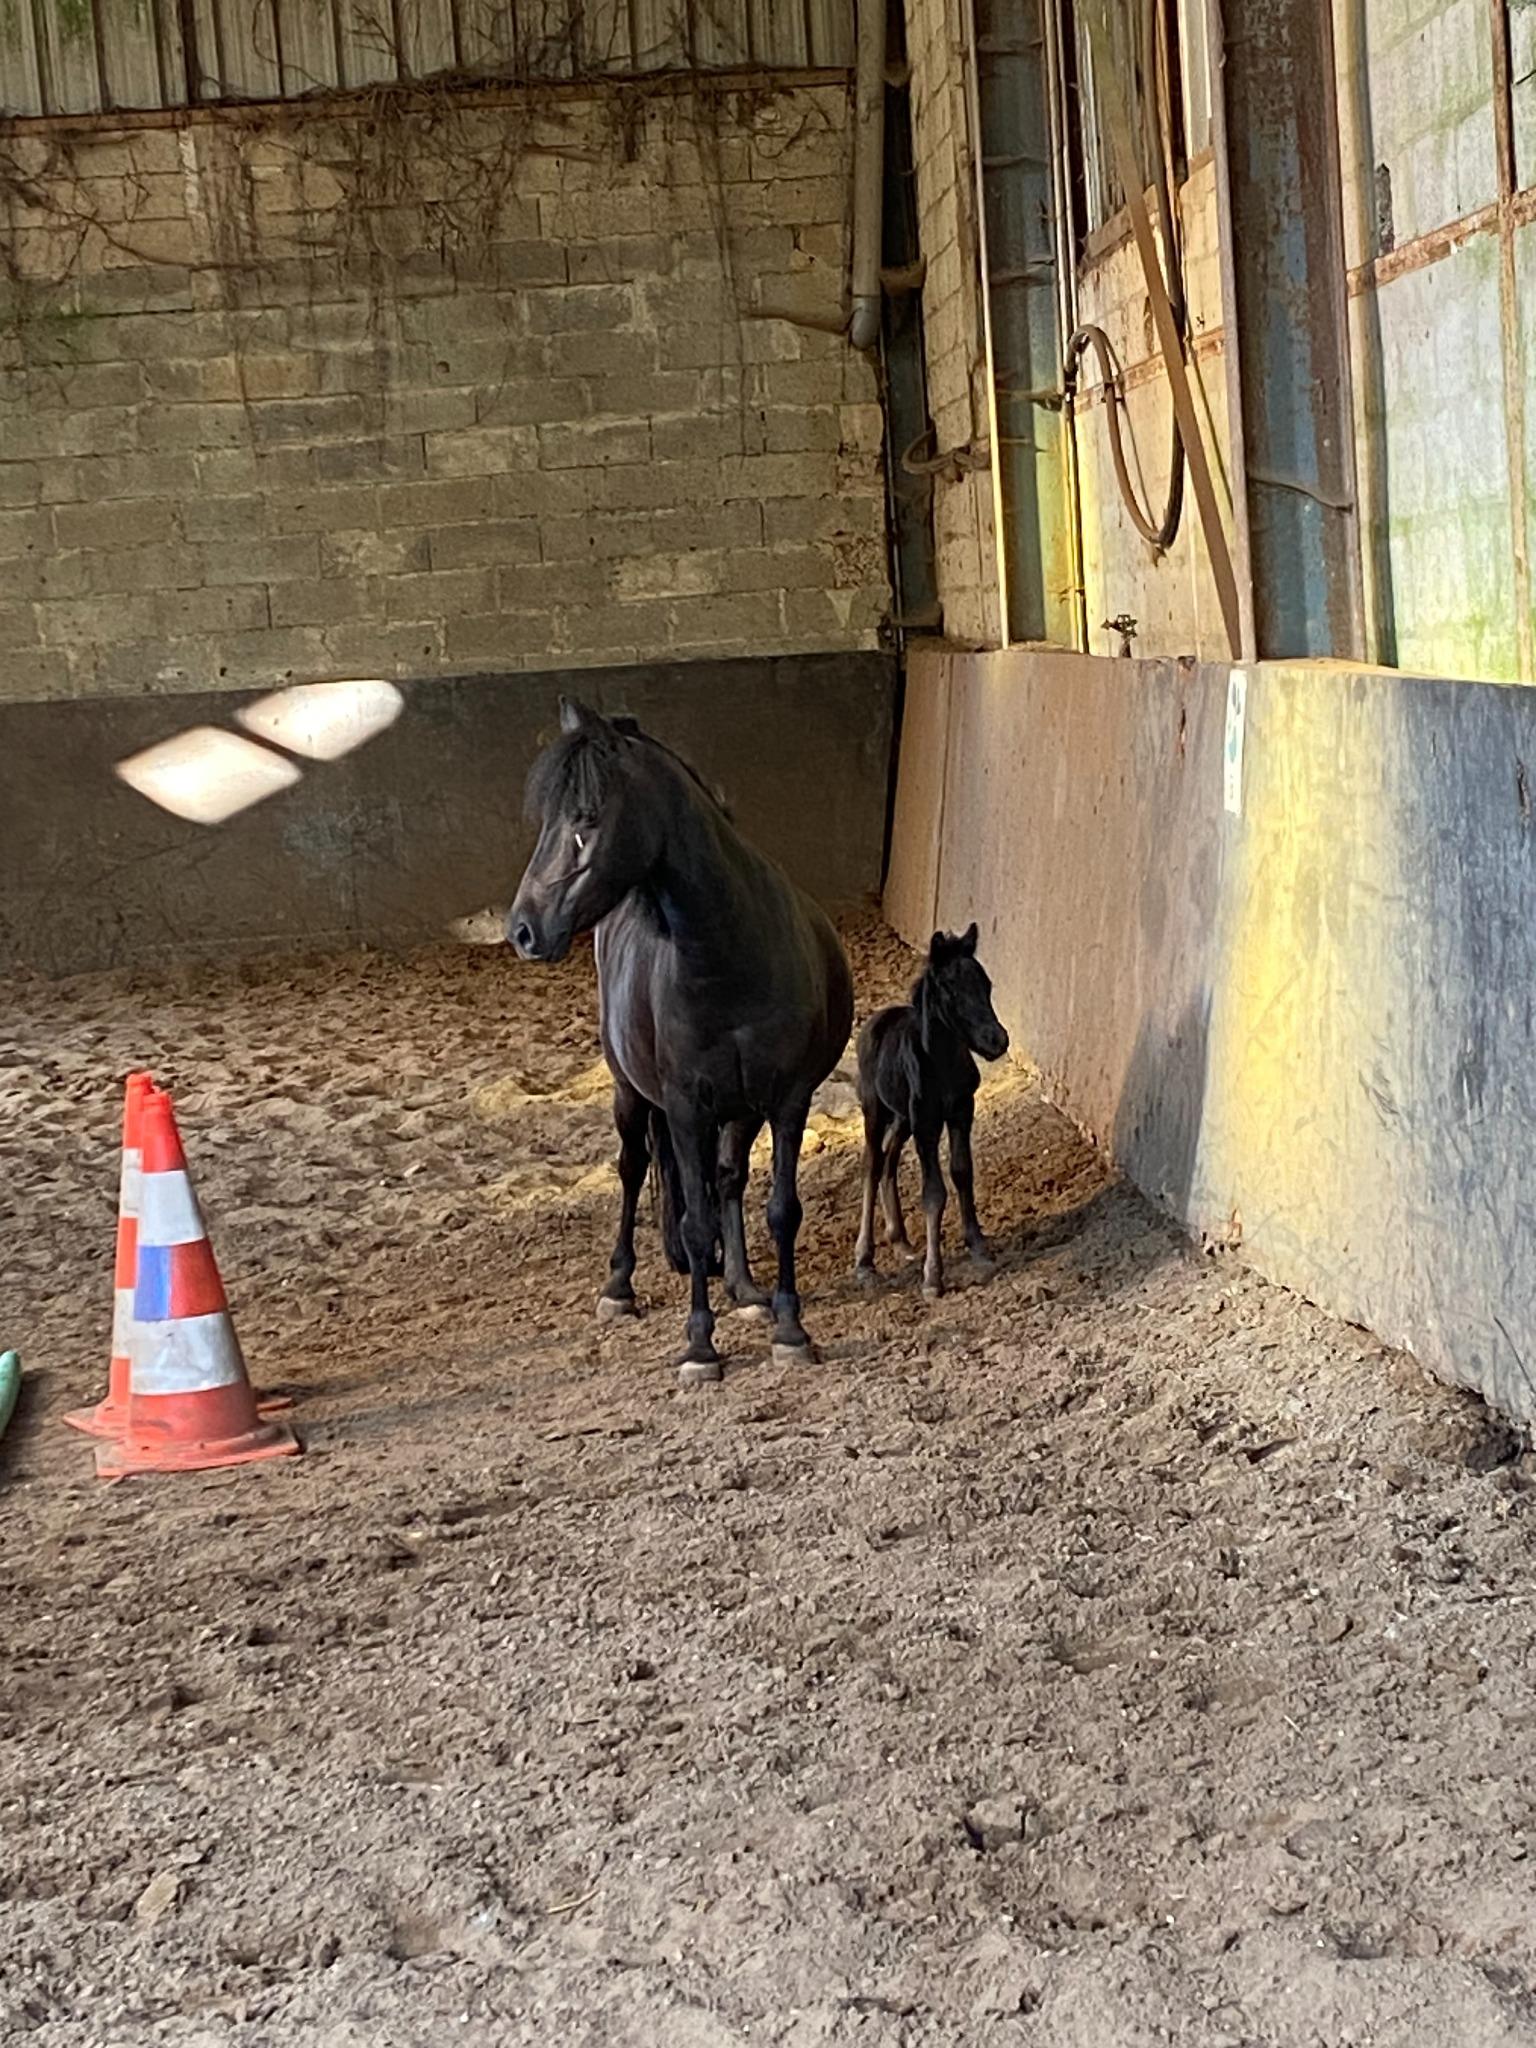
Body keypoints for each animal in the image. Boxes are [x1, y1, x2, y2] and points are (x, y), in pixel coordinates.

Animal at [507, 698, 855, 1384]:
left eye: (586, 819)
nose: (523, 929)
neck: (730, 957)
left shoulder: (786, 1101)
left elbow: (781, 1208)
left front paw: (788, 1325)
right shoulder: (687, 1108)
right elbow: (693, 1226)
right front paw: (699, 1345)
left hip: (739, 1111)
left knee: (727, 1179)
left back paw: (743, 1287)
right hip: (631, 1094)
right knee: (633, 1169)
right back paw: (620, 1287)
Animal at [853, 922, 1009, 1299]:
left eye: (986, 985)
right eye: (950, 990)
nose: (997, 1040)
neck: (942, 1063)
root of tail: (877, 1018)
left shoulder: (961, 1111)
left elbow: (963, 1172)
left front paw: (978, 1246)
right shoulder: (927, 1122)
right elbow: (933, 1192)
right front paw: (933, 1276)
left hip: (903, 1119)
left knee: (889, 1159)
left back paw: (901, 1240)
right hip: (876, 1111)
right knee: (872, 1164)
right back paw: (865, 1260)